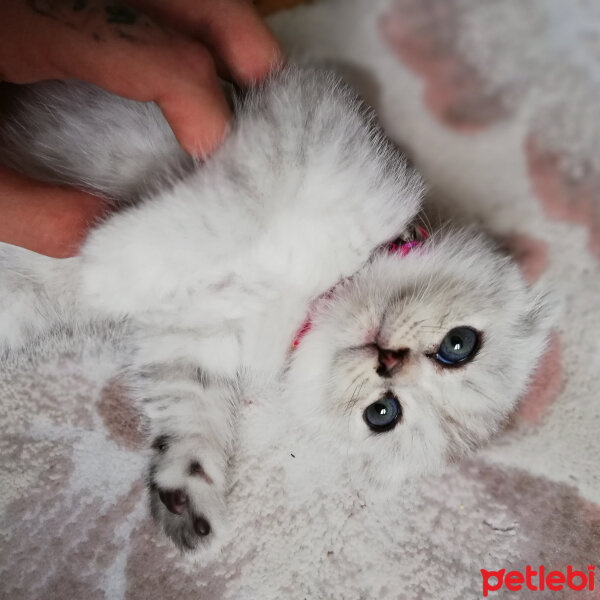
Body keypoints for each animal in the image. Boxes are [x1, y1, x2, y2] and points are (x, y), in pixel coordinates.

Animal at [0, 67, 552, 552]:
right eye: (459, 344)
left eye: (382, 413)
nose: (388, 361)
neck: (314, 294)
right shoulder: (297, 130)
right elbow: (225, 215)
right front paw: (112, 262)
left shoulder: (192, 338)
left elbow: (190, 406)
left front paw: (187, 491)